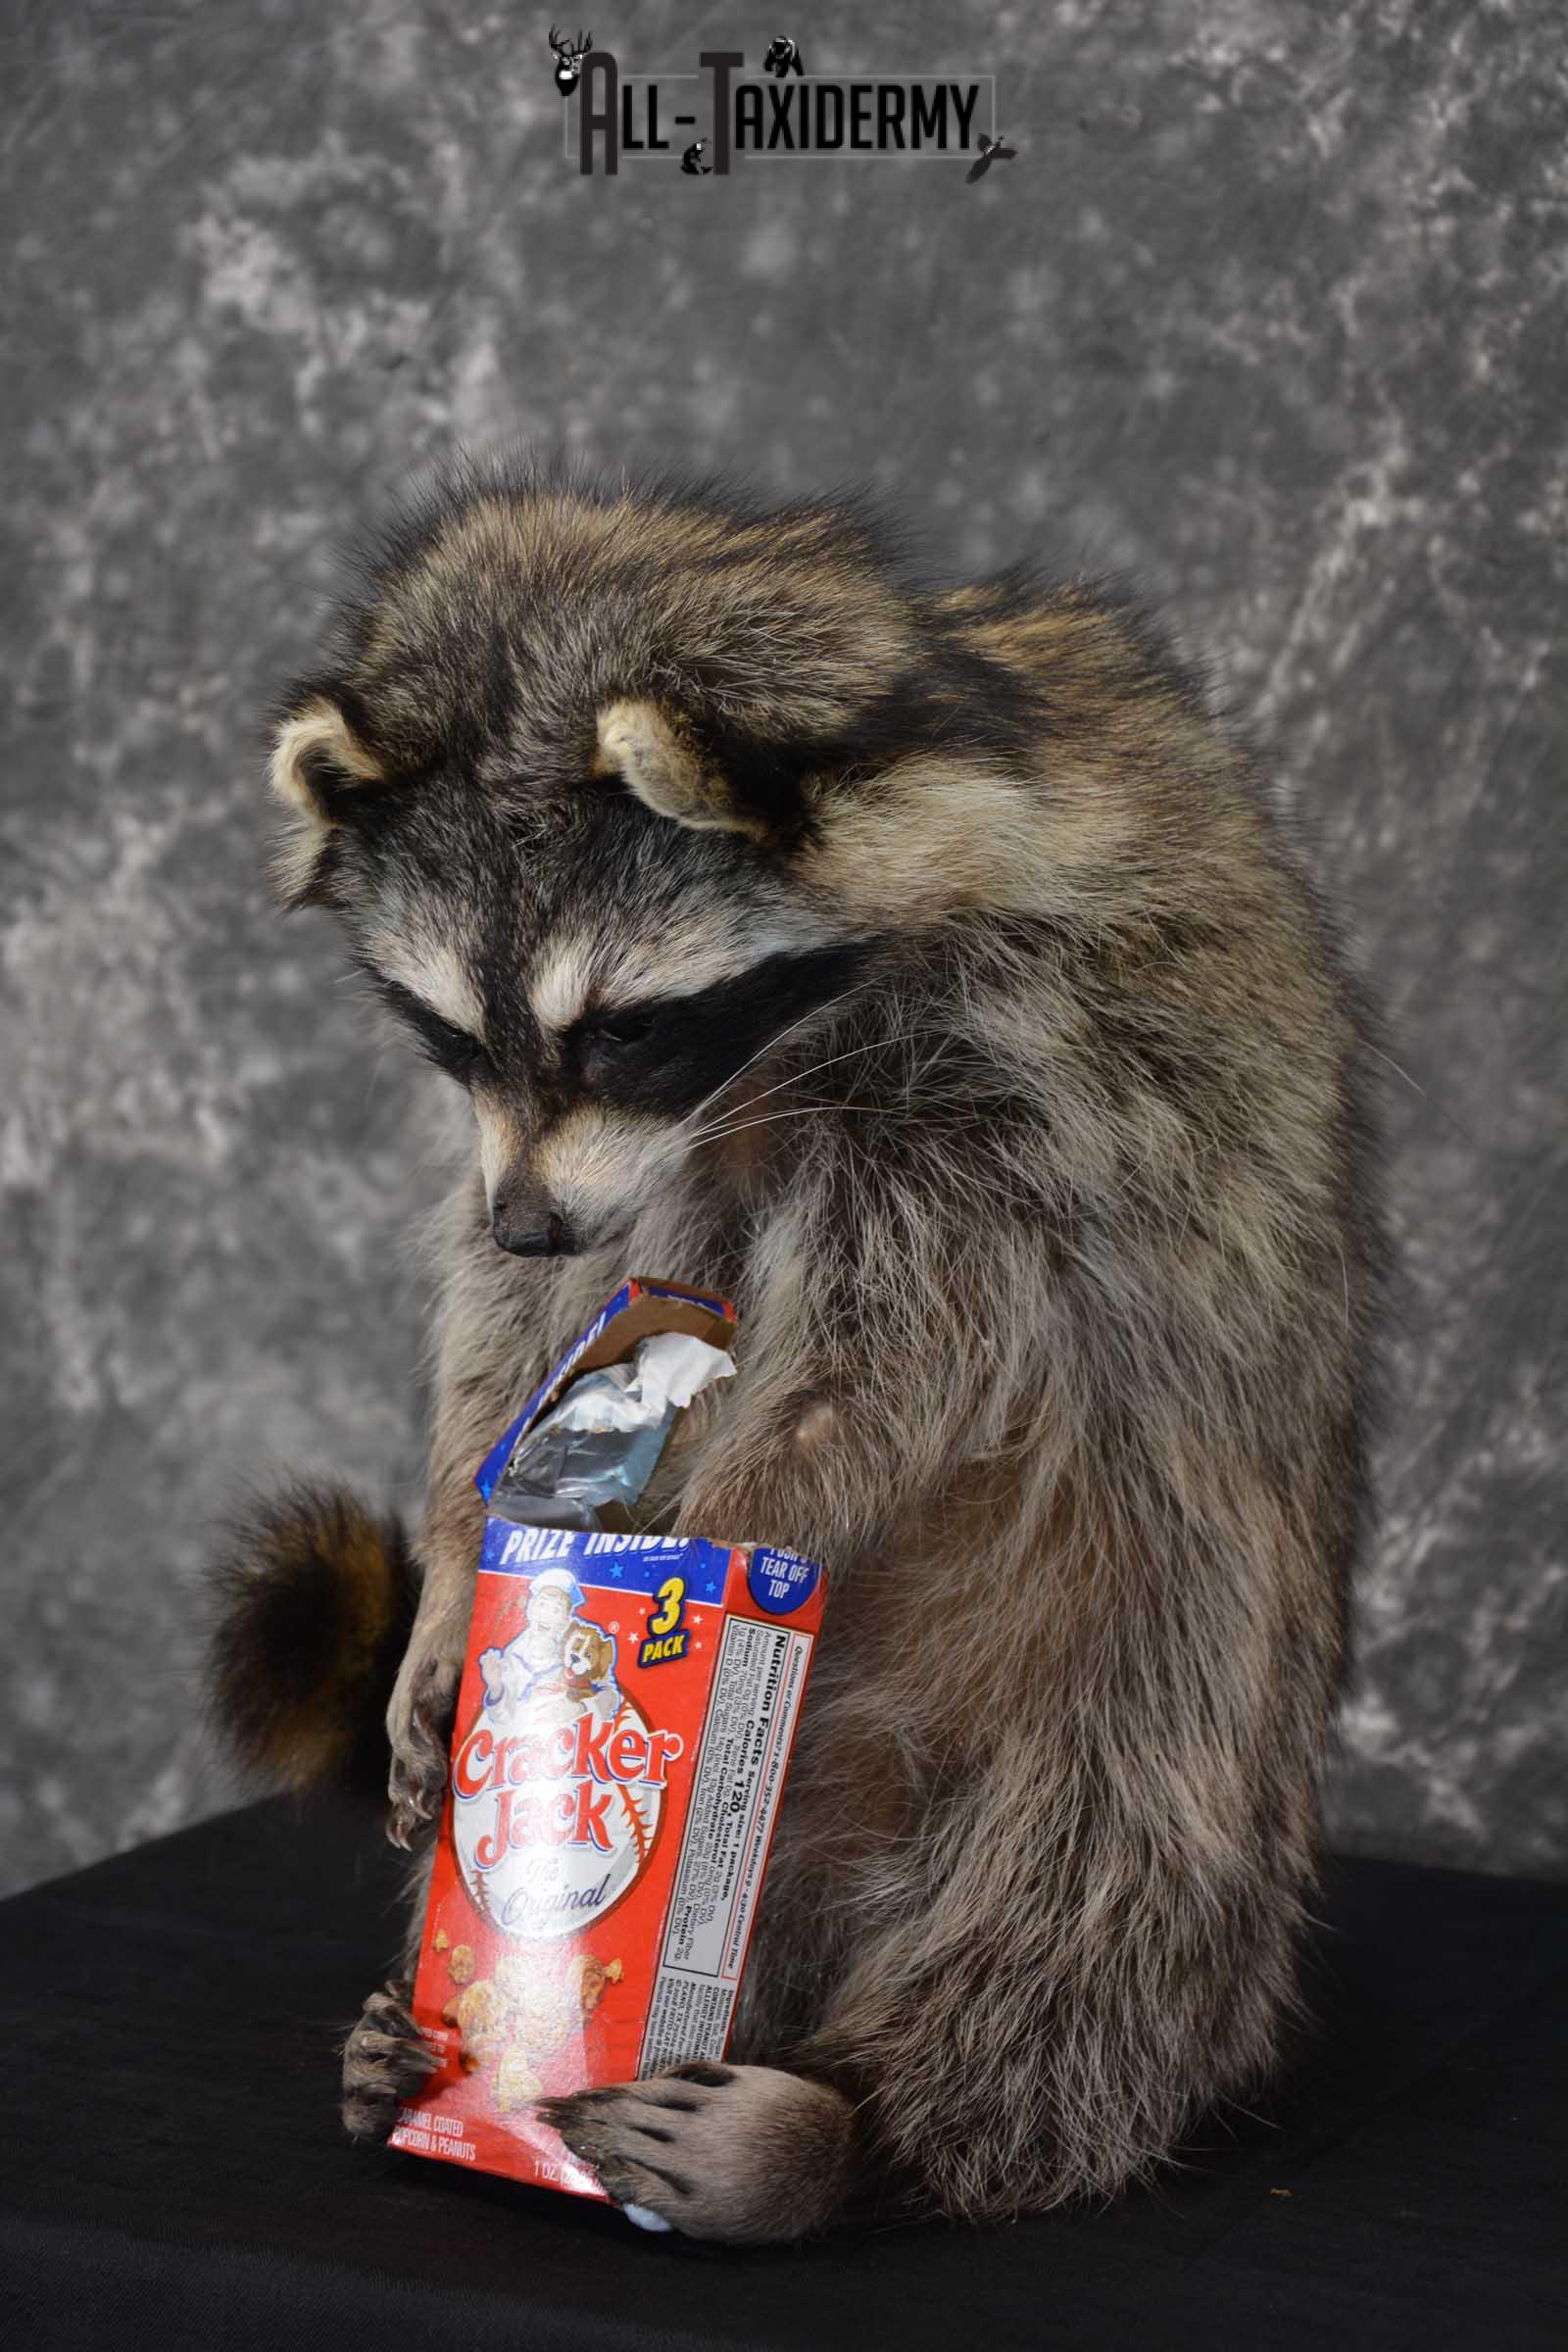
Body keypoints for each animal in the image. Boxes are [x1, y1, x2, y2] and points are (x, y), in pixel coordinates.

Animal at [206, 458, 1380, 2243]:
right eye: (451, 1032)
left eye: (626, 1026)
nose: (530, 1220)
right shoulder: (572, 1171)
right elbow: (515, 1329)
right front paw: (467, 1558)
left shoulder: (1011, 1096)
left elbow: (899, 1365)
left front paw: (728, 1538)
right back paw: (435, 2047)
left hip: (1176, 1663)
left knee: (1096, 1901)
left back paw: (857, 2131)